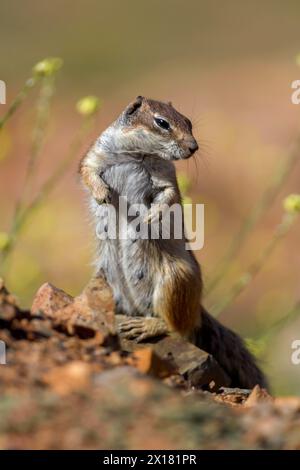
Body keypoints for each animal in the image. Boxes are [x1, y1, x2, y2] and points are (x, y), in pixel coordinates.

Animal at [79, 95, 268, 390]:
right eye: (162, 122)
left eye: (189, 122)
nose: (193, 147)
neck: (138, 154)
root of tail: (198, 309)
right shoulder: (98, 152)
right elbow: (87, 170)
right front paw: (103, 194)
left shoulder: (165, 176)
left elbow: (168, 195)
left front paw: (148, 218)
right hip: (104, 276)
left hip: (176, 278)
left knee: (179, 326)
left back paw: (145, 326)